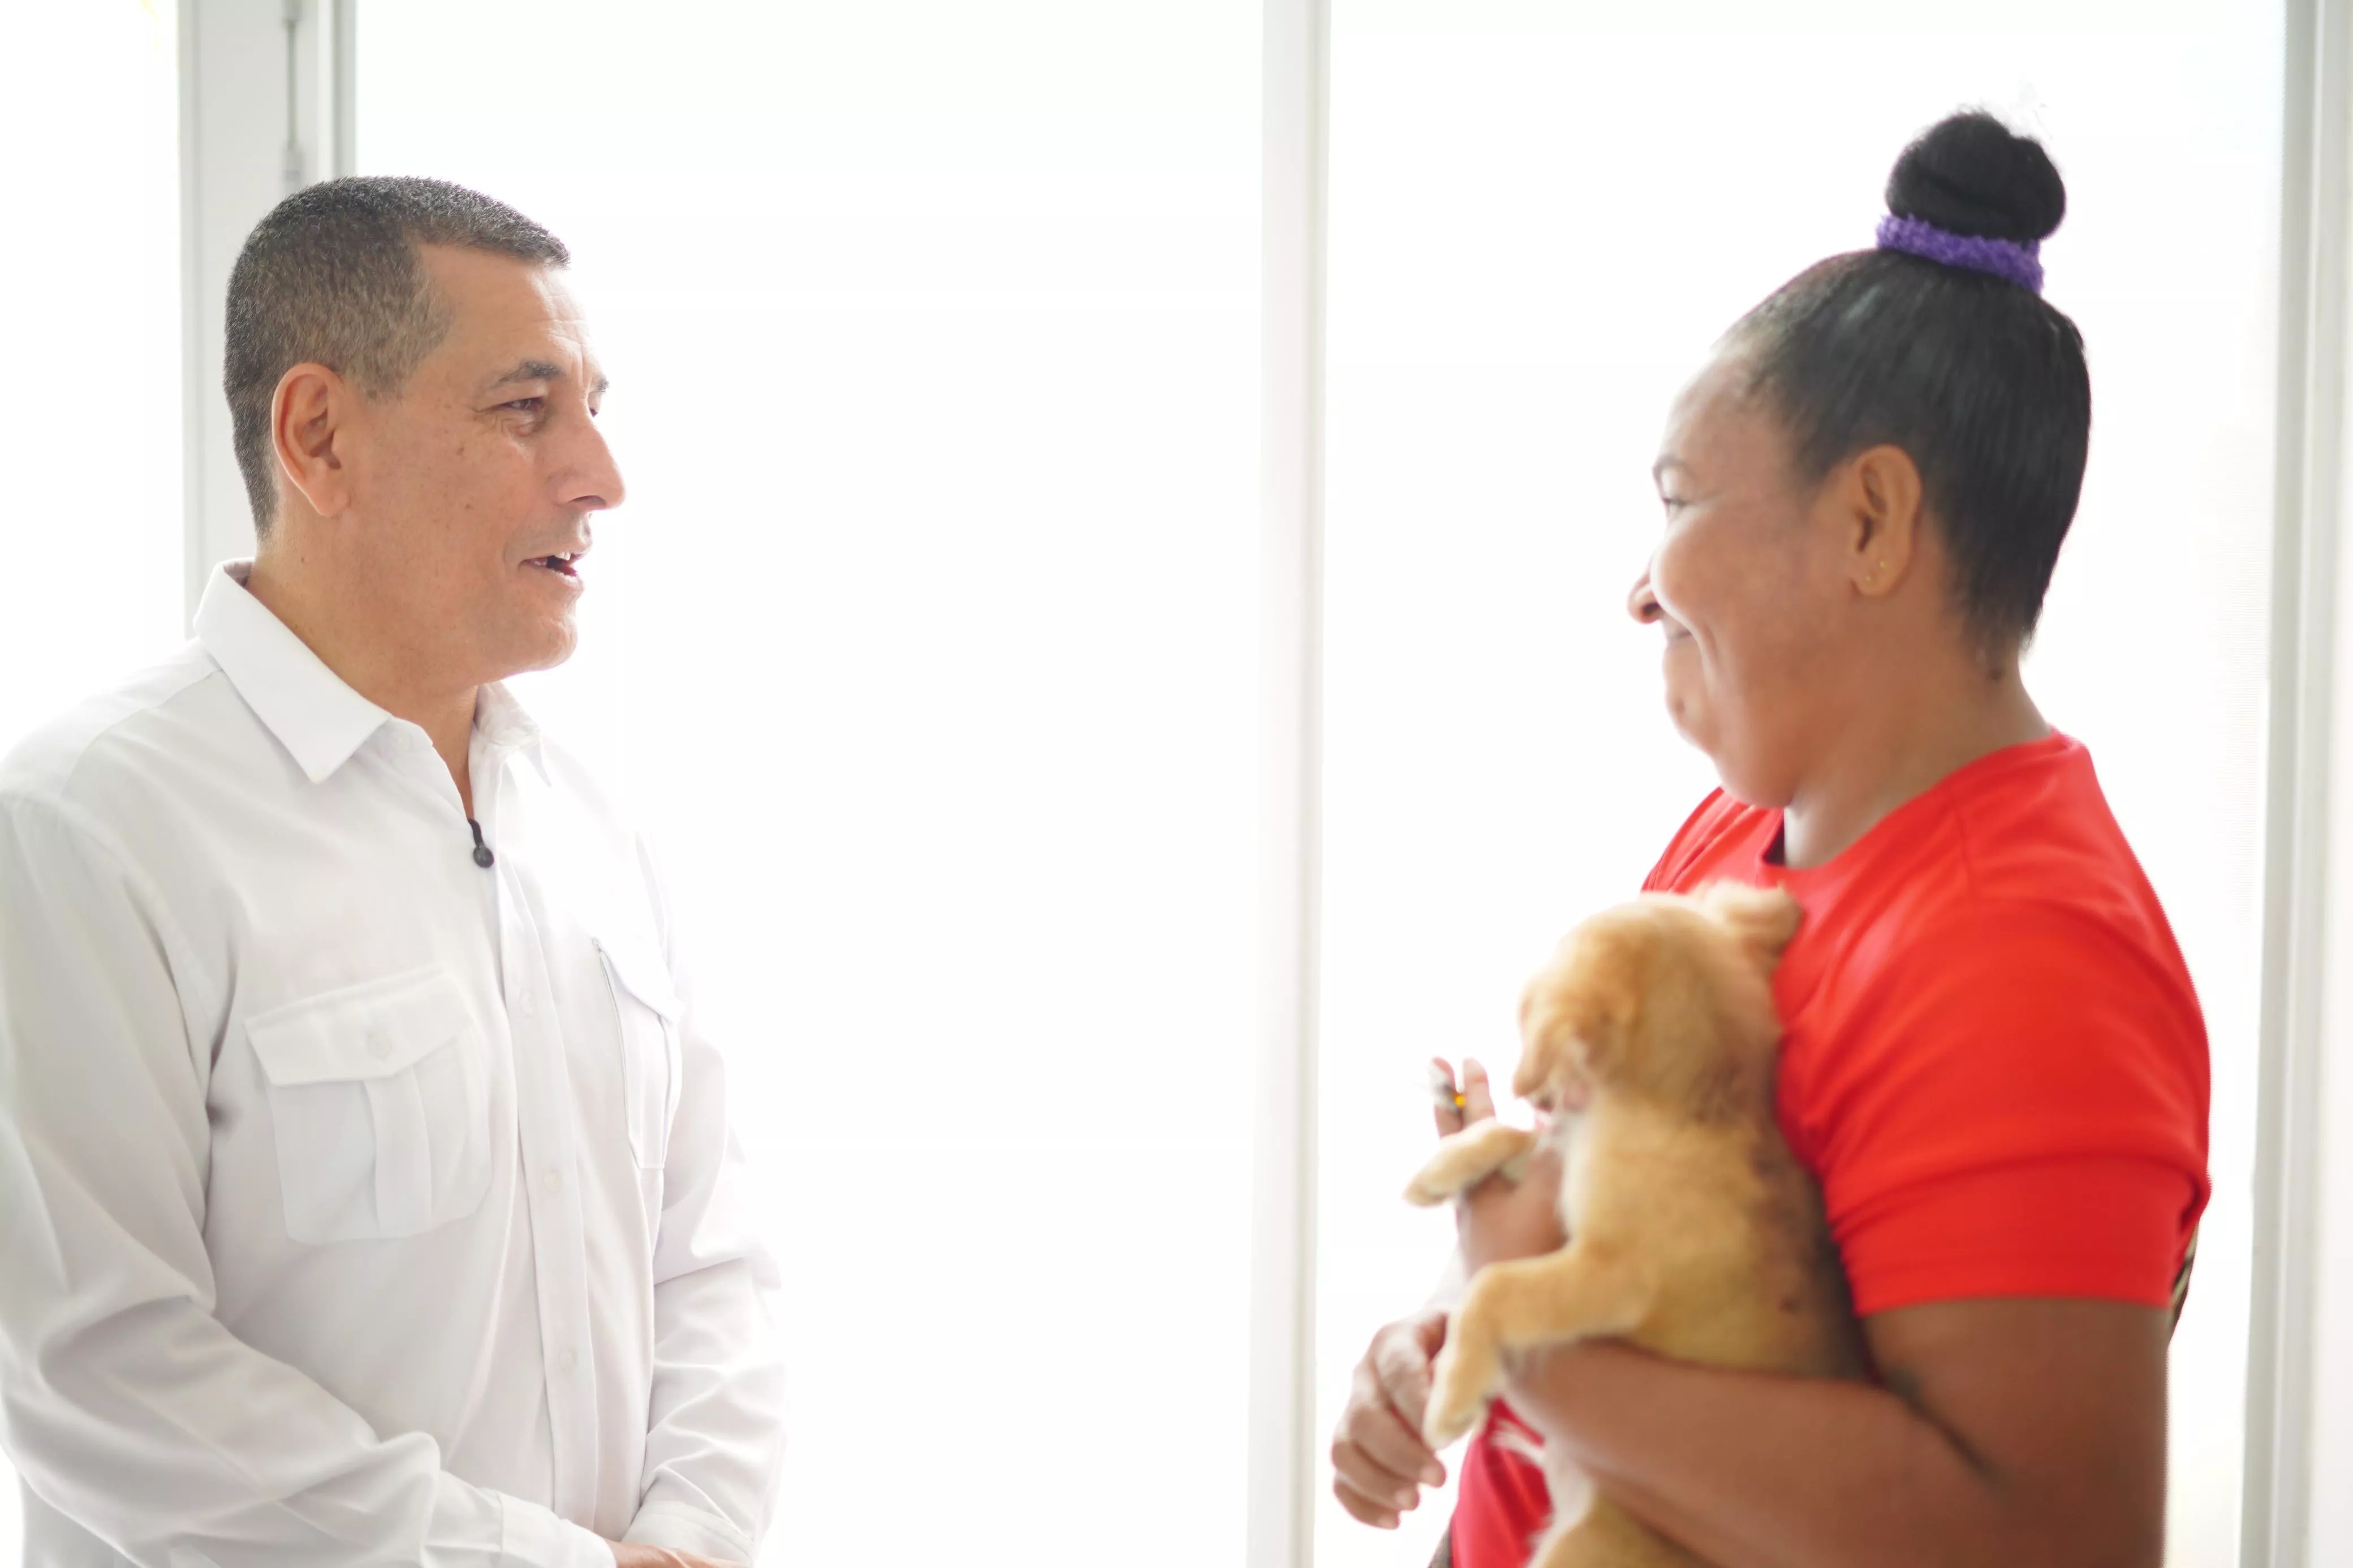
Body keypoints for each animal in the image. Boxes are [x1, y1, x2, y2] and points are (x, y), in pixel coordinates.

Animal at [1404, 882, 1865, 1568]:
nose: (1539, 1093)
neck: (1693, 1105)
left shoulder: (1609, 1273)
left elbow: (1496, 1286)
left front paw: (1454, 1395)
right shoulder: (1568, 1155)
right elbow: (1516, 1136)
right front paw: (1440, 1169)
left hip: (1578, 1551)